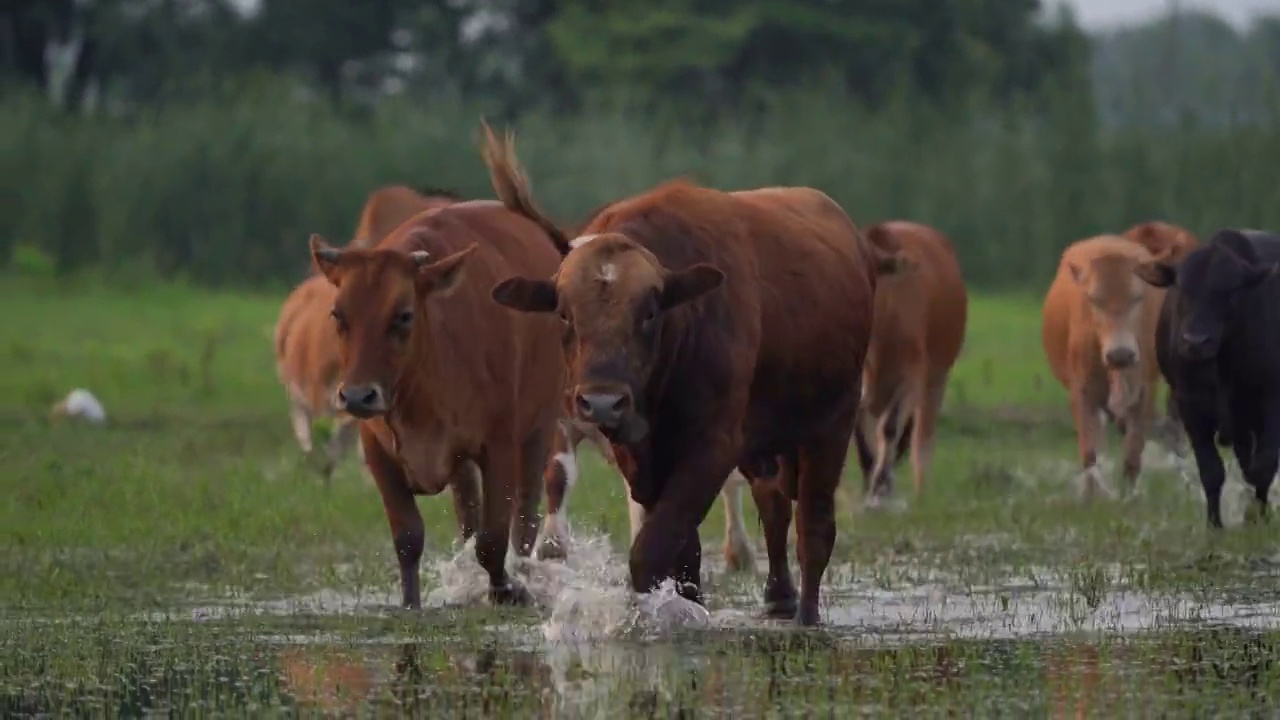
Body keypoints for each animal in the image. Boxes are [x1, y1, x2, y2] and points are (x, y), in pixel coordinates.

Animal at [304, 193, 565, 602]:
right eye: (337, 314)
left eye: (404, 315)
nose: (358, 396)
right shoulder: (379, 454)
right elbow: (408, 538)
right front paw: (410, 602)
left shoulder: (501, 446)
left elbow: (493, 540)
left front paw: (507, 589)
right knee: (468, 513)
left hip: (539, 427)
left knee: (525, 519)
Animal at [483, 122, 906, 622]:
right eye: (564, 313)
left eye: (649, 312)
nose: (601, 402)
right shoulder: (643, 458)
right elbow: (683, 549)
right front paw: (686, 602)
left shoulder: (713, 445)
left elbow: (653, 548)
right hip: (766, 443)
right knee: (774, 507)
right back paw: (778, 597)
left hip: (831, 426)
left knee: (814, 526)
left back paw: (806, 614)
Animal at [855, 221, 962, 507]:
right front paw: (871, 481)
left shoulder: (912, 378)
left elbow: (890, 427)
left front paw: (881, 484)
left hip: (936, 379)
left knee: (921, 436)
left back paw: (920, 491)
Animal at [1039, 233, 1172, 497]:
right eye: (1094, 299)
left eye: (1138, 297)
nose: (1120, 354)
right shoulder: (1081, 391)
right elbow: (1090, 453)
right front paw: (1092, 495)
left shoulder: (1146, 390)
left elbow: (1133, 455)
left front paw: (1129, 497)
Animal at [1136, 226, 1280, 525]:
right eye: (1181, 287)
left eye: (1231, 290)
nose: (1195, 342)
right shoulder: (1190, 406)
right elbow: (1212, 472)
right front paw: (1215, 526)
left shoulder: (1272, 400)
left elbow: (1264, 466)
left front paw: (1257, 516)